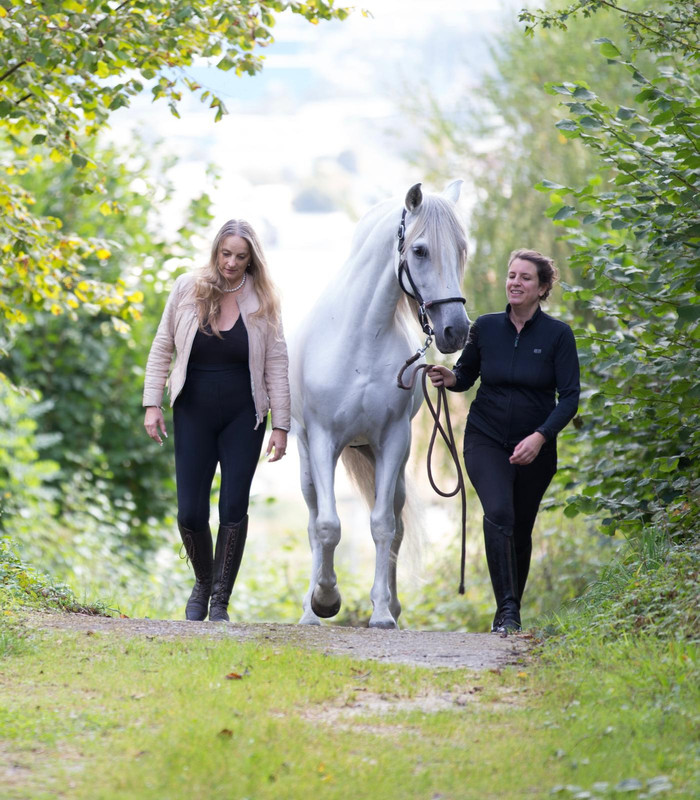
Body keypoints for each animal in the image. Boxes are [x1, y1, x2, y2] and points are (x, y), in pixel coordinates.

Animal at [290, 181, 471, 629]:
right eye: (420, 250)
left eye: (461, 248)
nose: (456, 331)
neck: (360, 337)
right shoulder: (323, 440)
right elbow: (327, 526)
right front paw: (325, 599)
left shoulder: (392, 441)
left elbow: (384, 526)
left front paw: (383, 613)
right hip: (306, 457)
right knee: (313, 520)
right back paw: (309, 611)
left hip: (391, 462)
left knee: (396, 521)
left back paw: (390, 604)